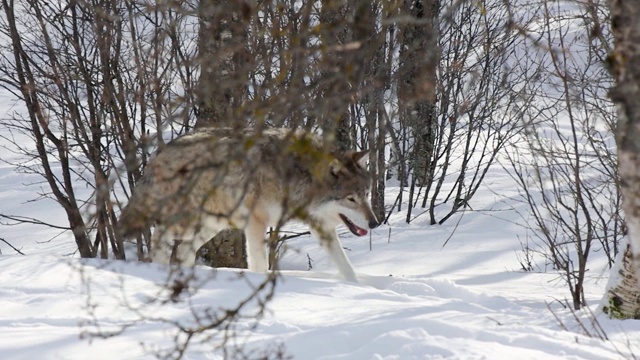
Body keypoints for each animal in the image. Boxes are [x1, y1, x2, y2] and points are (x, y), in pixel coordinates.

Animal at [117, 128, 380, 282]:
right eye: (351, 199)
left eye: (366, 195)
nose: (374, 223)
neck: (297, 176)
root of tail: (158, 154)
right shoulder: (257, 222)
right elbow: (260, 263)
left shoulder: (320, 225)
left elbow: (346, 266)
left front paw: (357, 287)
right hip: (186, 221)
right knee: (158, 237)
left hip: (212, 224)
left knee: (182, 250)